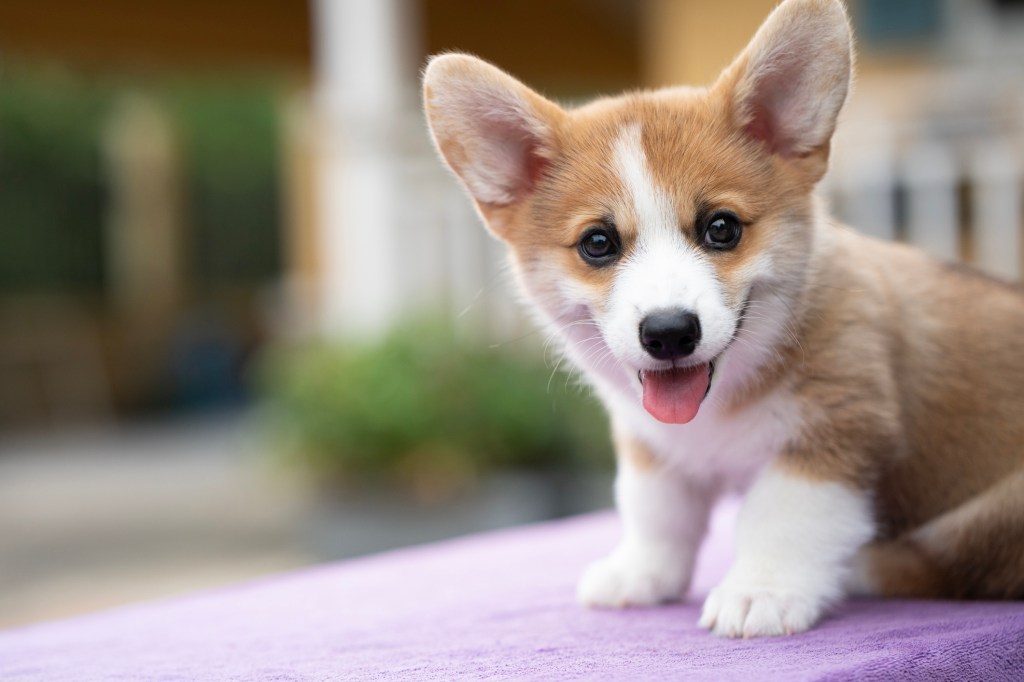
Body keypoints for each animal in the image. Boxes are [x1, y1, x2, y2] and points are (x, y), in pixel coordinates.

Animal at [417, 0, 1024, 634]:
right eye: (598, 243)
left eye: (722, 228)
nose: (668, 334)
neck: (725, 397)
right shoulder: (652, 449)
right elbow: (656, 511)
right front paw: (639, 574)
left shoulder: (834, 432)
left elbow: (782, 516)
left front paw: (761, 591)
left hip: (998, 514)